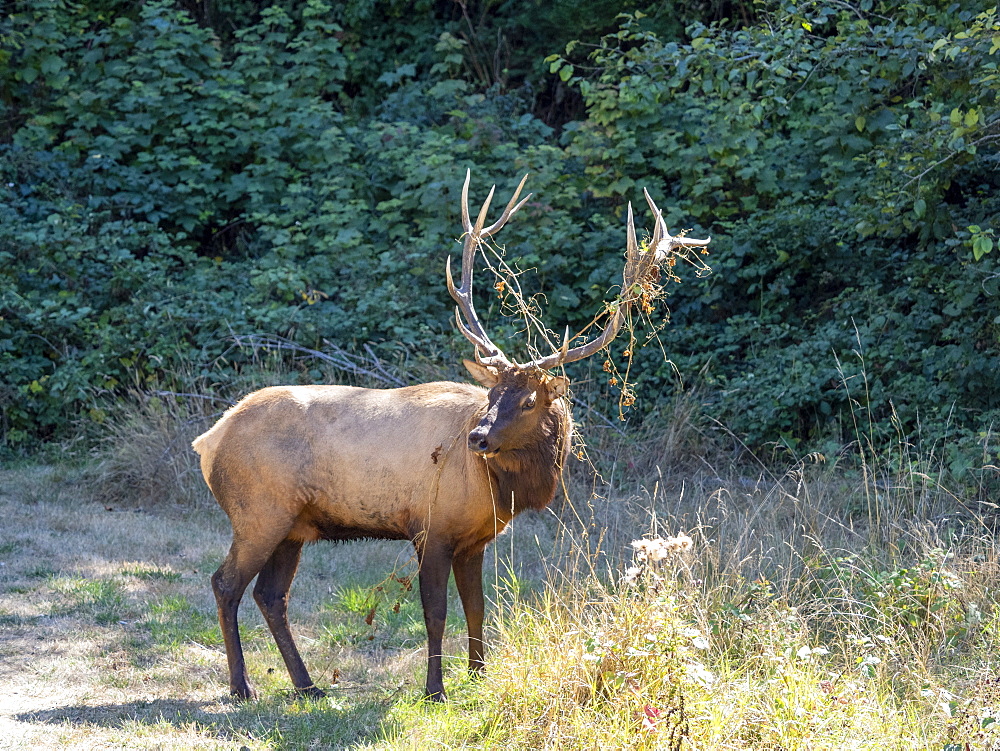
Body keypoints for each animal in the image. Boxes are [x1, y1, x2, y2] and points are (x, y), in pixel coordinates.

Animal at [191, 173, 712, 704]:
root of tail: (207, 441)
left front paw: (479, 676)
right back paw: (242, 686)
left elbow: (478, 608)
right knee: (226, 583)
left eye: (528, 400)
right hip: (258, 511)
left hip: (294, 524)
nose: (479, 438)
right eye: (493, 393)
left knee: (270, 595)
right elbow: (436, 612)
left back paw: (307, 684)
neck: (498, 489)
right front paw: (435, 688)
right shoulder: (431, 527)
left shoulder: (474, 540)